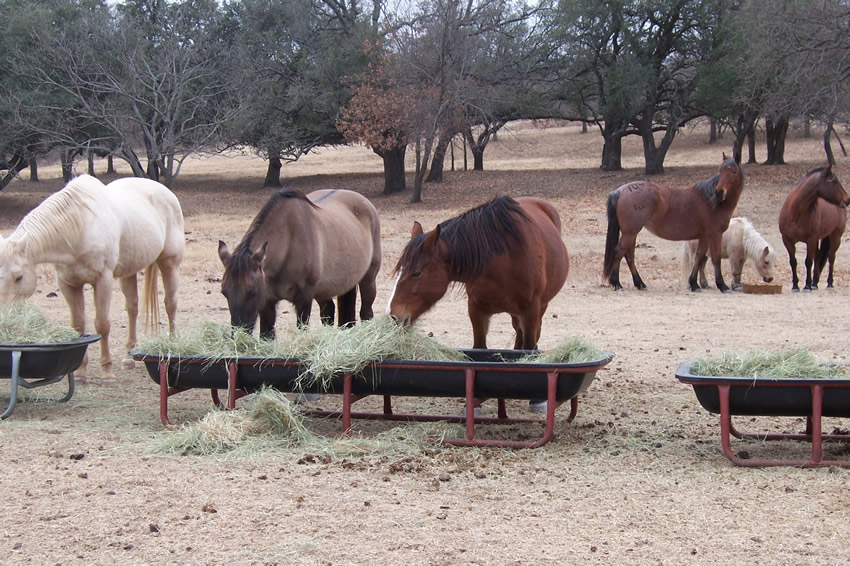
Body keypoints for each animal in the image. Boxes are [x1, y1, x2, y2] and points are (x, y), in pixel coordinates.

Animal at [0, 174, 184, 383]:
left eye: (19, 277)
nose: (4, 317)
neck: (79, 227)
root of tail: (165, 191)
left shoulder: (102, 281)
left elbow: (102, 324)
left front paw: (107, 373)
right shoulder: (68, 284)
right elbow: (79, 325)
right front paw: (80, 372)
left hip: (169, 263)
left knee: (170, 303)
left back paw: (171, 347)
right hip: (128, 272)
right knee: (133, 308)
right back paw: (128, 358)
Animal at [218, 188, 381, 338]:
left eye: (252, 291)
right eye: (224, 292)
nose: (237, 335)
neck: (288, 240)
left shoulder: (304, 298)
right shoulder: (267, 301)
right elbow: (267, 334)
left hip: (368, 279)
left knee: (366, 312)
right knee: (329, 312)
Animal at [387, 195, 569, 351]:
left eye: (416, 273)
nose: (393, 316)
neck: (503, 263)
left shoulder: (530, 313)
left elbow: (529, 347)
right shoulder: (476, 312)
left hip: (540, 308)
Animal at [603, 154, 744, 292]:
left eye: (733, 171)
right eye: (721, 171)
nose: (719, 192)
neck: (711, 202)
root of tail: (620, 191)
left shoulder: (704, 236)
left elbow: (698, 257)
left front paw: (694, 284)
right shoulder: (715, 235)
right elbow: (716, 259)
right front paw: (722, 285)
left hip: (631, 233)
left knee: (629, 255)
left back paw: (639, 283)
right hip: (630, 232)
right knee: (619, 252)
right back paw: (617, 284)